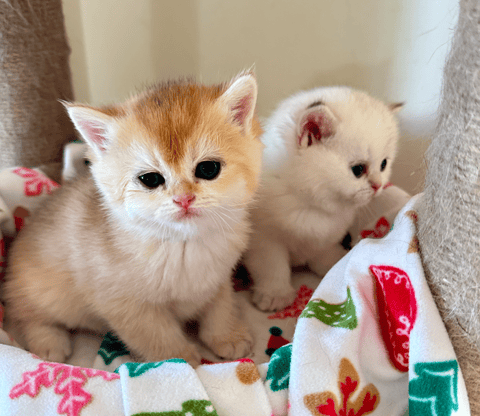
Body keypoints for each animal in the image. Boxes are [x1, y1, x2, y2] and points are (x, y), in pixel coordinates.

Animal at [3, 73, 262, 366]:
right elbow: (159, 338)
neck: (184, 245)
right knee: (26, 314)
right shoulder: (127, 306)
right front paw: (182, 361)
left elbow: (220, 307)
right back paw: (49, 343)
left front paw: (227, 335)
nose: (183, 199)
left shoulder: (218, 278)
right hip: (41, 291)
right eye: (150, 179)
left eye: (208, 169)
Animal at [246, 86, 400, 310]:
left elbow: (323, 253)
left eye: (383, 164)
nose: (378, 186)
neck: (310, 205)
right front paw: (275, 294)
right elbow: (272, 266)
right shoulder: (264, 238)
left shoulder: (327, 236)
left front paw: (336, 263)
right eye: (358, 170)